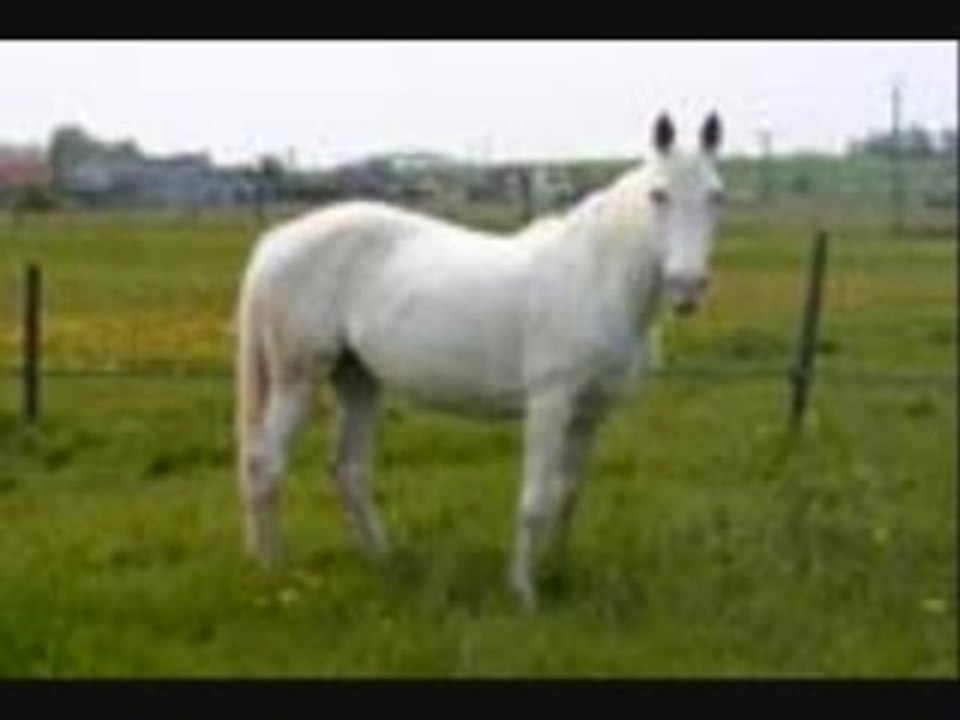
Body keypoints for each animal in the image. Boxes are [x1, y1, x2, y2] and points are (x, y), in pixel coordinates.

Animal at [234, 112, 725, 610]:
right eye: (658, 194)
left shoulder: (590, 412)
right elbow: (535, 501)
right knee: (266, 463)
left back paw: (384, 560)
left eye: (716, 195)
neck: (596, 275)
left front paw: (558, 572)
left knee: (349, 470)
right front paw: (524, 593)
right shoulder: (550, 403)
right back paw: (274, 569)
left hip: (359, 379)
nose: (686, 287)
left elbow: (567, 495)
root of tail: (276, 241)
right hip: (297, 378)